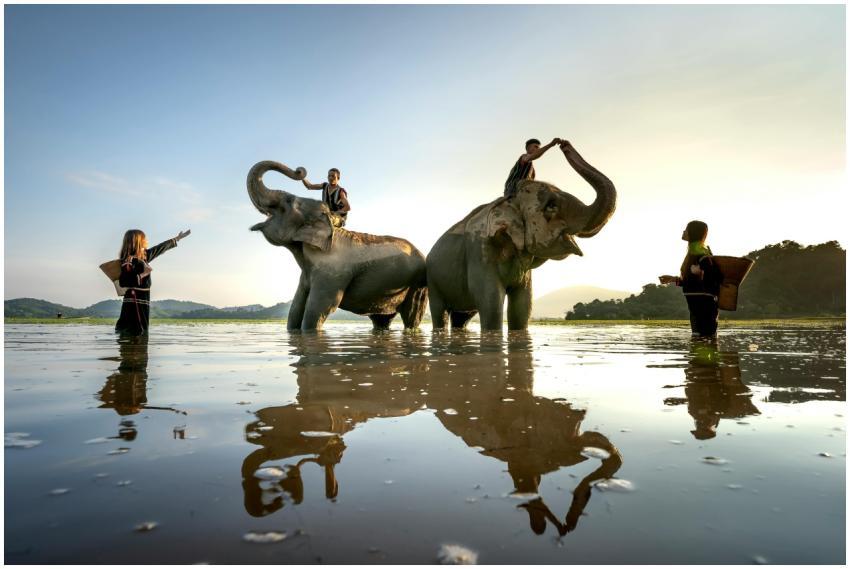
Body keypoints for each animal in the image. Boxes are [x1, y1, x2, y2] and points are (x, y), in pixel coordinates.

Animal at [247, 160, 428, 331]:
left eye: (288, 201)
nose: (299, 170)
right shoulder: (307, 273)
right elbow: (295, 309)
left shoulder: (333, 272)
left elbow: (318, 309)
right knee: (381, 319)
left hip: (417, 284)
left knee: (412, 317)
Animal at [426, 142, 616, 331]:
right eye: (551, 206)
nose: (565, 144)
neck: (510, 201)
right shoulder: (479, 251)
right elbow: (491, 302)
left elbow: (523, 305)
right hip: (433, 282)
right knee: (439, 312)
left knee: (462, 316)